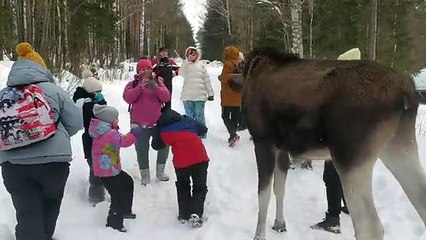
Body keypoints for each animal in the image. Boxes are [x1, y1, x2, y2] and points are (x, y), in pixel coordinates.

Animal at [241, 47, 426, 240]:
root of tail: (406, 92)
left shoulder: (263, 140)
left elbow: (263, 194)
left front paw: (259, 235)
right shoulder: (282, 147)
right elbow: (280, 188)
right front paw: (279, 224)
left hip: (350, 158)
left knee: (370, 226)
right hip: (398, 145)